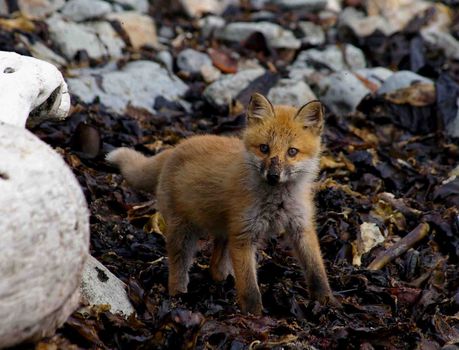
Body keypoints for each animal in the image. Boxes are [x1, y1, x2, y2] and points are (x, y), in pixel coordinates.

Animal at [107, 93, 338, 314]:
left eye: (292, 151)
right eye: (264, 148)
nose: (273, 176)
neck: (277, 201)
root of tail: (176, 147)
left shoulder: (301, 226)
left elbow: (316, 269)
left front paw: (326, 301)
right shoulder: (244, 235)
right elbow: (249, 287)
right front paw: (254, 316)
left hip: (226, 231)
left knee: (215, 265)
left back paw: (222, 279)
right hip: (184, 232)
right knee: (178, 266)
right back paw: (178, 296)